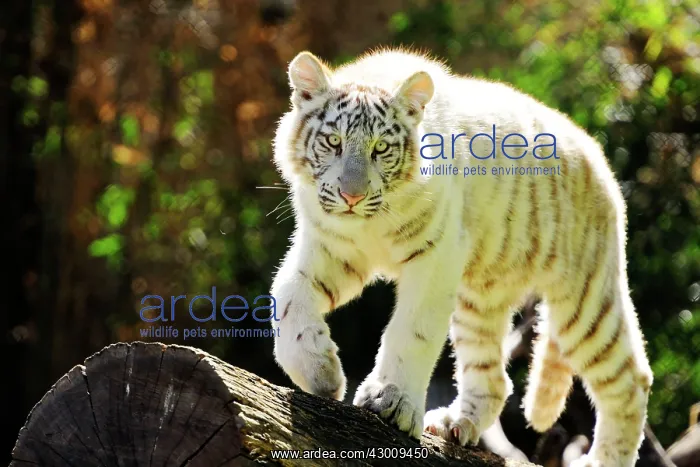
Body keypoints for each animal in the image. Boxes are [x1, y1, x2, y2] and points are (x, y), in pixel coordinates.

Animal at [269, 47, 653, 467]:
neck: (369, 225)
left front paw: (392, 400)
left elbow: (411, 332)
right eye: (333, 141)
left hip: (583, 301)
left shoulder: (435, 259)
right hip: (480, 298)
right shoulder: (330, 248)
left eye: (380, 148)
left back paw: (603, 459)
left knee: (632, 380)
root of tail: (598, 155)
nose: (352, 196)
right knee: (495, 379)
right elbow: (286, 297)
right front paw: (321, 372)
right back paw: (456, 424)